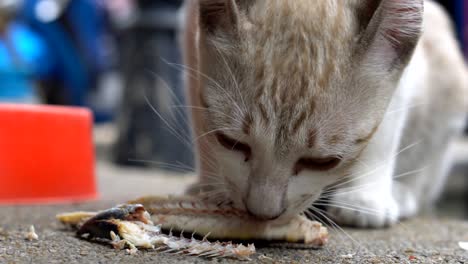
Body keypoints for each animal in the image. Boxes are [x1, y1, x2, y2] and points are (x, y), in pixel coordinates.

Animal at [181, 0, 466, 227]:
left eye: (323, 162)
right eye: (231, 142)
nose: (262, 214)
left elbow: (383, 133)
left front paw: (364, 198)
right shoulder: (190, 33)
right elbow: (201, 122)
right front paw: (213, 186)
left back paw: (401, 193)